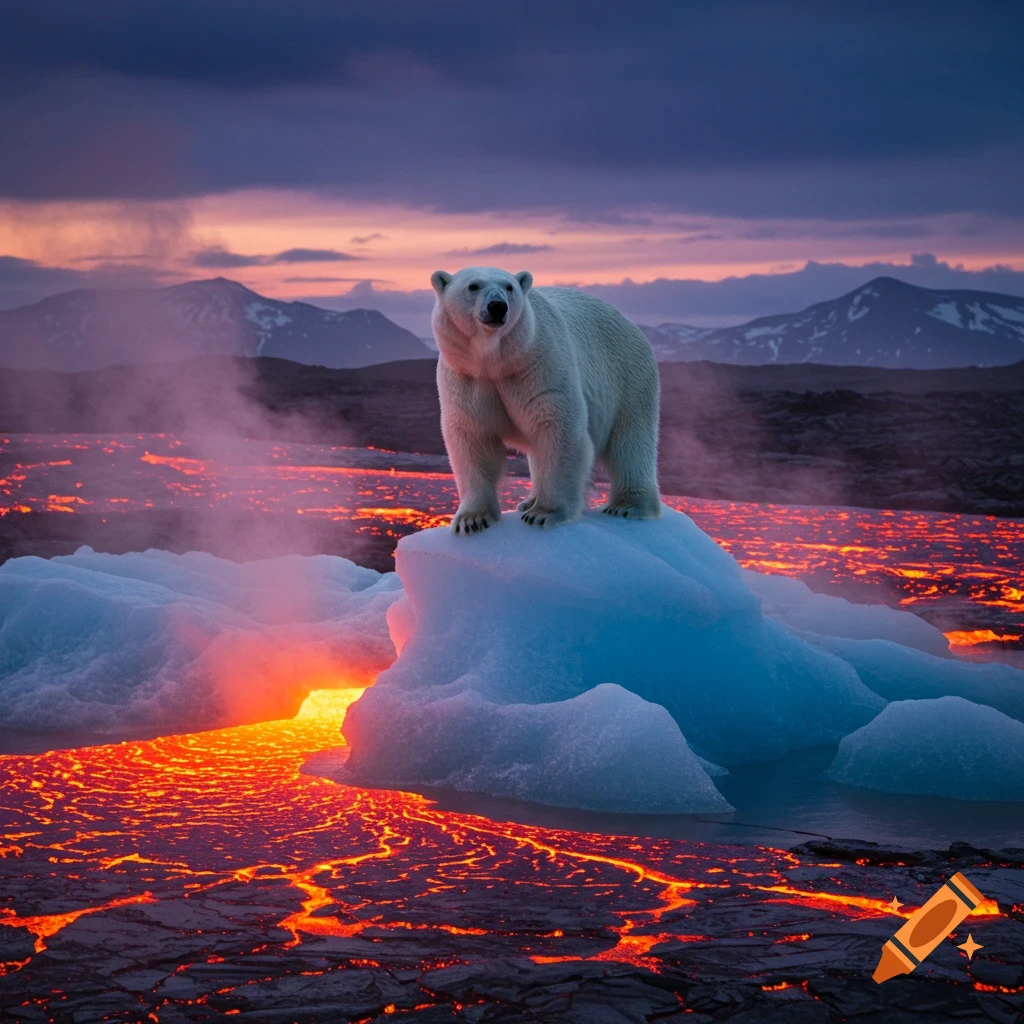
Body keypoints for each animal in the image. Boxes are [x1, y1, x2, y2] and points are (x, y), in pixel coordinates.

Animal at [430, 265, 662, 533]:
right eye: (473, 286)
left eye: (509, 287)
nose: (498, 306)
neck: (496, 362)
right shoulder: (467, 378)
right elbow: (472, 438)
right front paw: (472, 519)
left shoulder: (539, 366)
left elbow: (558, 429)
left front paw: (544, 513)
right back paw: (529, 500)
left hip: (627, 375)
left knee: (630, 441)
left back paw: (628, 506)